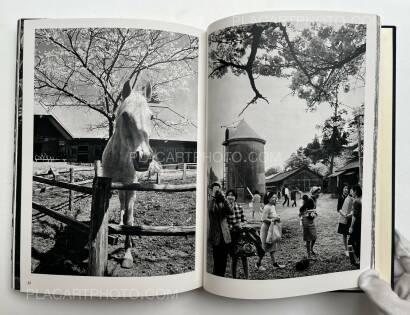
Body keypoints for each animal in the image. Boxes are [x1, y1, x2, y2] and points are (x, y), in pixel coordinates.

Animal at [101, 80, 155, 268]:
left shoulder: (131, 188)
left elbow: (130, 221)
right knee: (122, 205)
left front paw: (127, 255)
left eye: (151, 117)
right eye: (125, 115)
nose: (143, 158)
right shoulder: (109, 188)